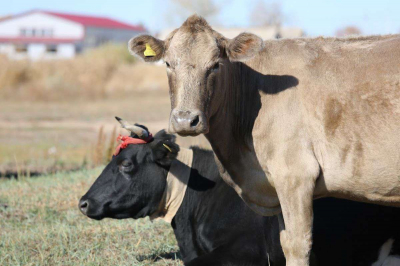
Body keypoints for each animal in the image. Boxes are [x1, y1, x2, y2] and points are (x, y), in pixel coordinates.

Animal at [128, 15, 400, 264]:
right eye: (168, 64)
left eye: (215, 65)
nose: (186, 120)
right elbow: (284, 242)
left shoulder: (295, 175)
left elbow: (298, 244)